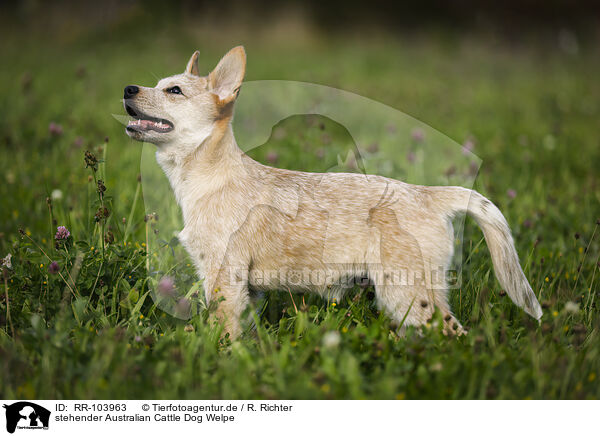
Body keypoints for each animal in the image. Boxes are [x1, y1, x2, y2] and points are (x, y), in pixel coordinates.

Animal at [123, 48, 544, 340]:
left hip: (408, 294)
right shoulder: (245, 291)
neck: (209, 174)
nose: (127, 88)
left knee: (457, 337)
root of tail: (427, 194)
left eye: (174, 91)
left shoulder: (224, 280)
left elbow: (222, 335)